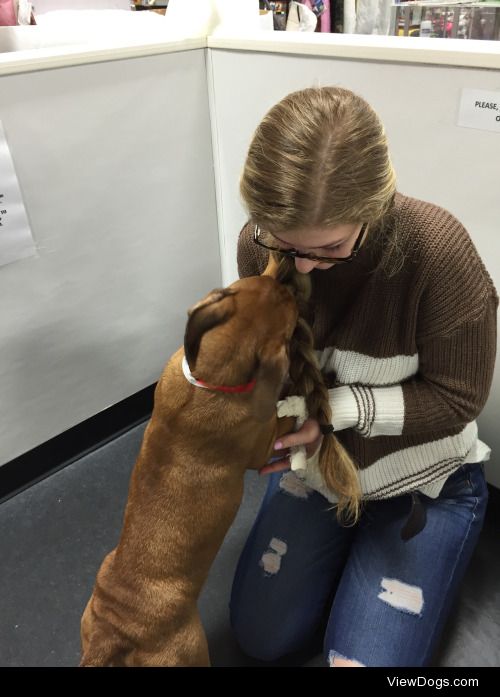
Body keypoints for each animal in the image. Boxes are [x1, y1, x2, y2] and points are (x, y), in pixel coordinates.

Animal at [78, 270, 296, 664]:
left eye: (253, 281)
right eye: (291, 321)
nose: (288, 282)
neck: (210, 376)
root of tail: (114, 631)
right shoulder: (263, 443)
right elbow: (285, 417)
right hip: (190, 650)